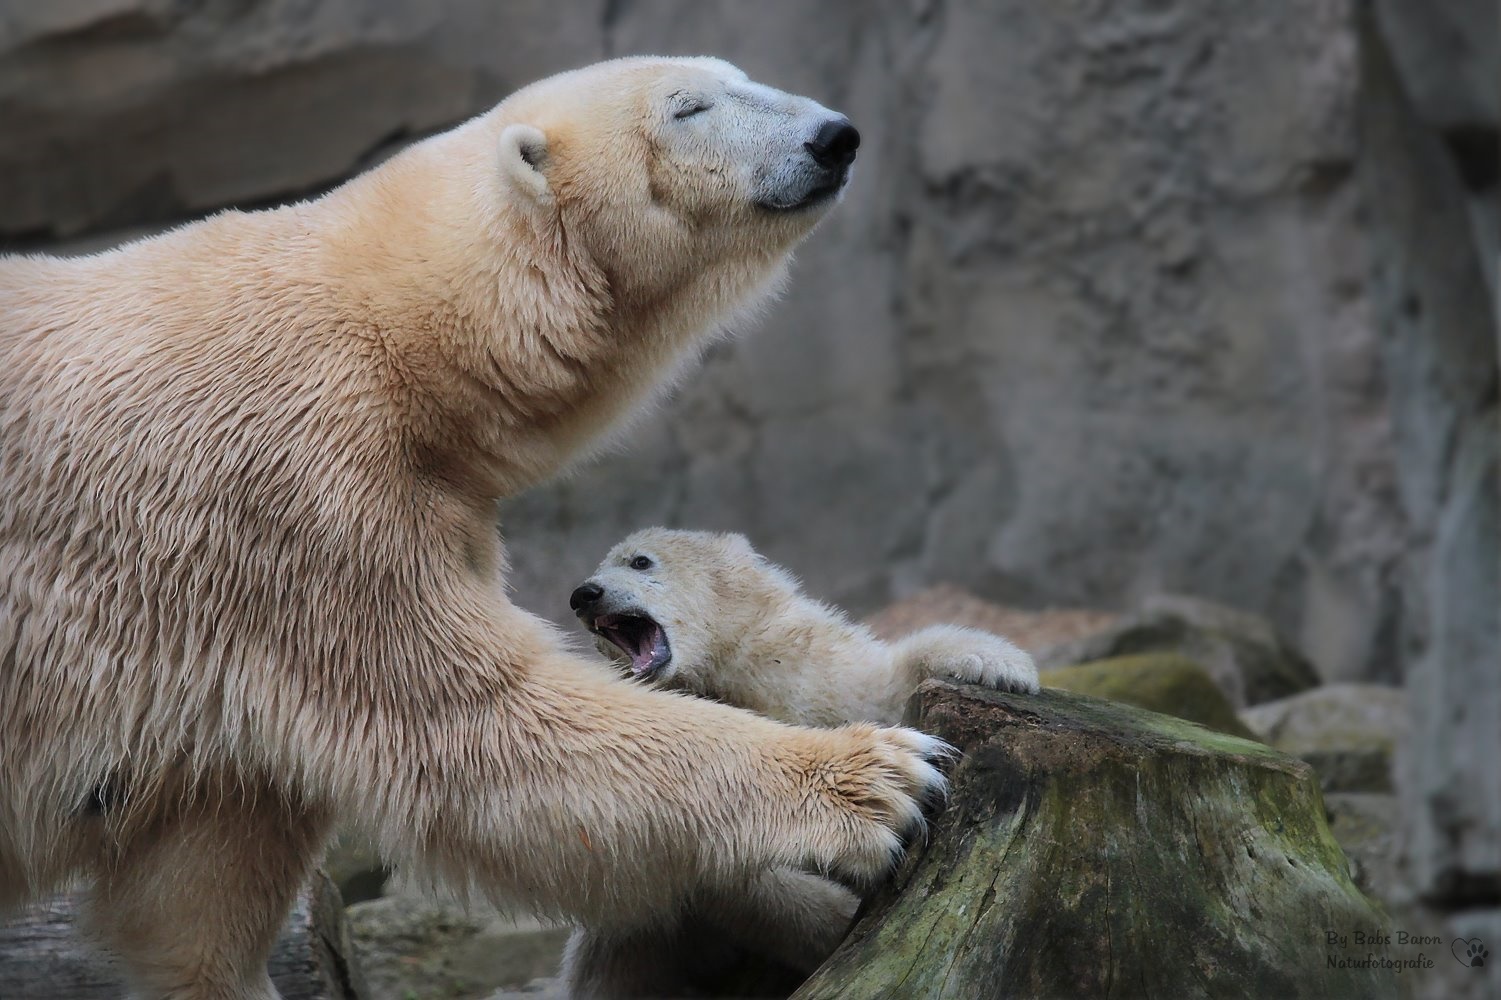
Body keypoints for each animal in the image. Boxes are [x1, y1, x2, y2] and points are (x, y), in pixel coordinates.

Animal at [0, 58, 942, 990]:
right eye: (689, 106)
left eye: (740, 76)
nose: (833, 136)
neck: (390, 324)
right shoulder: (298, 490)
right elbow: (478, 725)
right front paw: (879, 777)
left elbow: (196, 872)